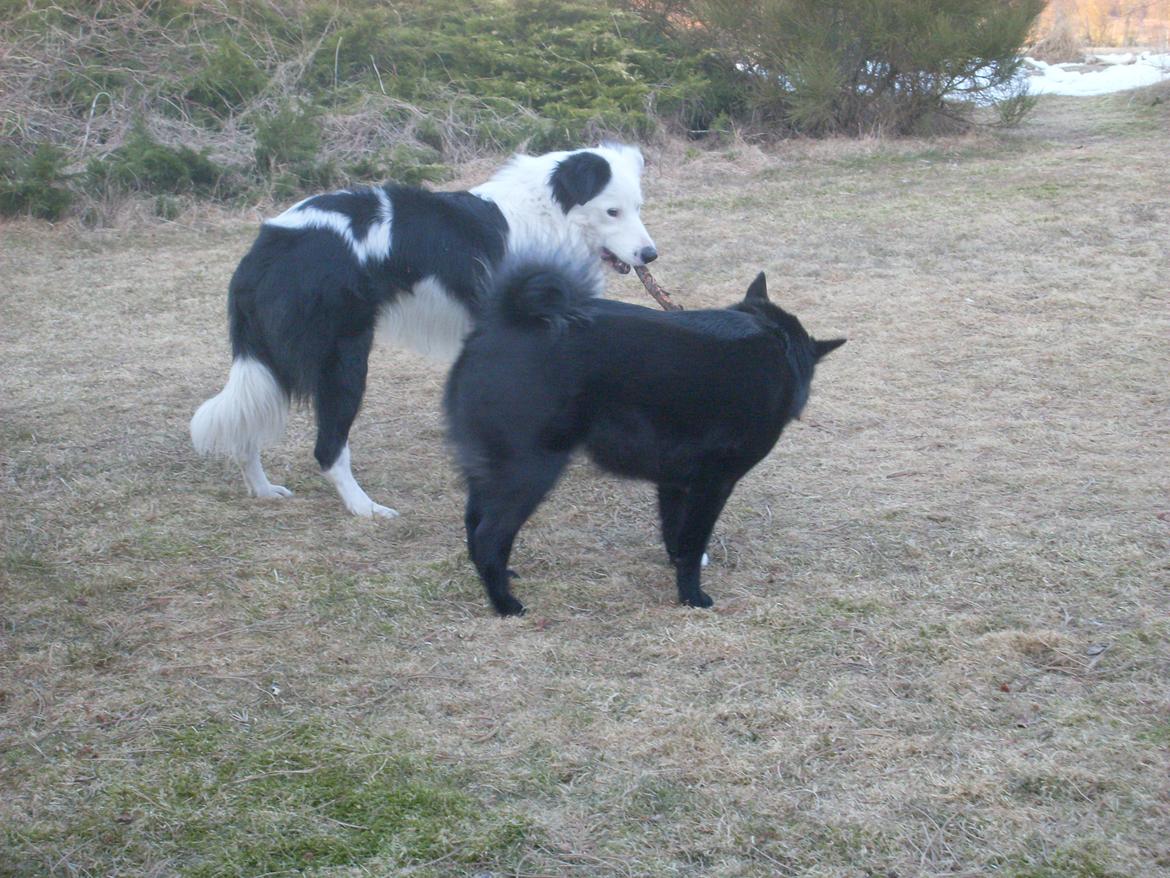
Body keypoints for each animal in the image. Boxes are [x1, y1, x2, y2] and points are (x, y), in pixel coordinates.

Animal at [439, 250, 842, 613]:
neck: (776, 341)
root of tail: (506, 320)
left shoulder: (675, 482)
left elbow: (675, 533)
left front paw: (677, 571)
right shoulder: (714, 484)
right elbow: (694, 542)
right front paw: (692, 597)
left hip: (493, 467)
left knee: (474, 522)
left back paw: (500, 579)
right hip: (531, 469)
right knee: (490, 535)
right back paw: (506, 604)